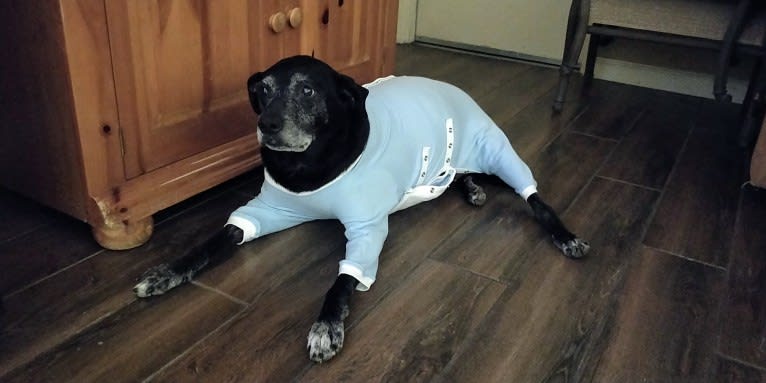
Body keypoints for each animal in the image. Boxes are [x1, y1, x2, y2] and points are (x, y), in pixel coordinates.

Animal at [135, 55, 592, 364]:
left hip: (495, 152)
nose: (267, 125)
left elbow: (343, 280)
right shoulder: (266, 208)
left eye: (307, 89)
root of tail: (456, 89)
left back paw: (564, 235)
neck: (306, 166)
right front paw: (166, 272)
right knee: (460, 177)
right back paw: (471, 189)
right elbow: (214, 240)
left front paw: (326, 327)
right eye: (262, 89)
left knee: (534, 198)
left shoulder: (368, 228)